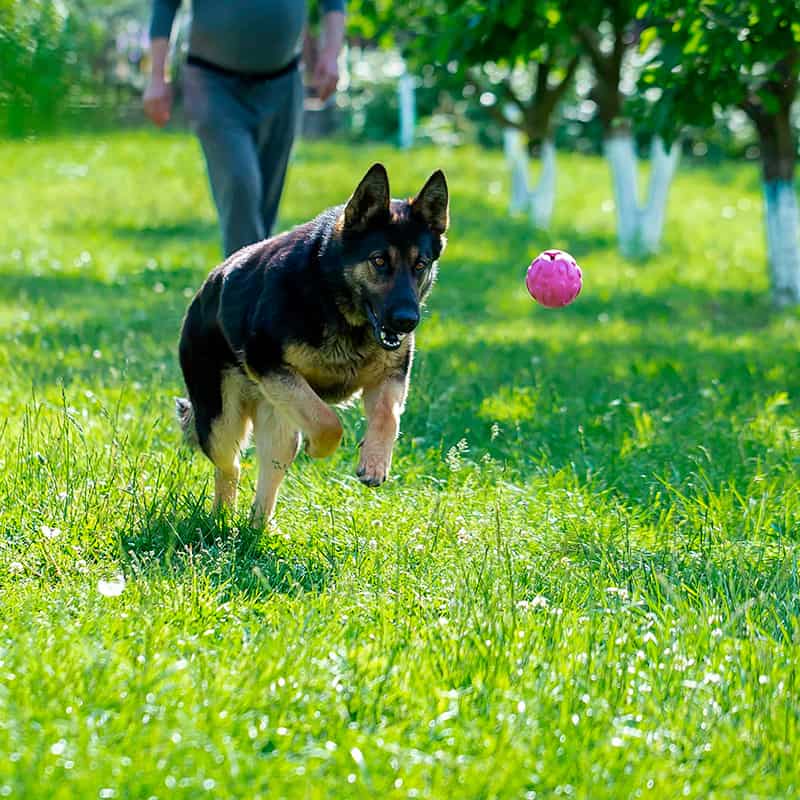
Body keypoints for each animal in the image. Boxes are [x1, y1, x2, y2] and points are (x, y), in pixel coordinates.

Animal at [177, 165, 446, 520]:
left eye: (420, 265)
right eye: (378, 261)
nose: (407, 320)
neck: (337, 301)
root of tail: (204, 290)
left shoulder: (389, 378)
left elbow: (388, 416)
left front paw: (374, 461)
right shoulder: (272, 366)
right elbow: (329, 423)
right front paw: (318, 448)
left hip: (276, 418)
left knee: (270, 467)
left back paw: (258, 525)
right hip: (223, 419)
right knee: (230, 465)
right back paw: (223, 517)